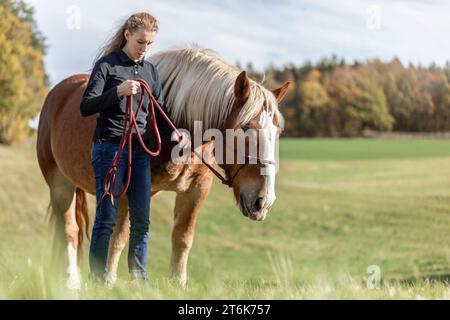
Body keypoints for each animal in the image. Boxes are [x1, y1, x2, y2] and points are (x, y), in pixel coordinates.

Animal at [35, 47, 288, 290]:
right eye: (245, 129)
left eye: (277, 132)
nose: (264, 201)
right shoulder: (128, 190)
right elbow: (119, 237)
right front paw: (109, 282)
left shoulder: (196, 190)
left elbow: (182, 237)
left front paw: (177, 282)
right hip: (60, 185)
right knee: (70, 230)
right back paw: (72, 281)